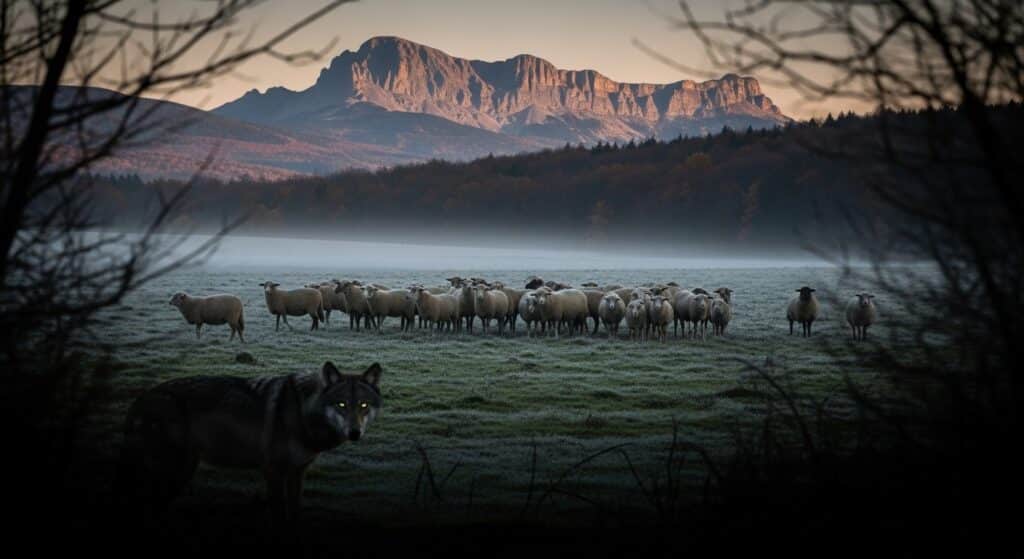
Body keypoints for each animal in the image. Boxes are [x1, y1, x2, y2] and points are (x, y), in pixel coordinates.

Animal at [115, 361, 382, 522]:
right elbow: (278, 512)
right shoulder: (273, 471)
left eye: (363, 406)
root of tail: (140, 401)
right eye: (341, 405)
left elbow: (295, 510)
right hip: (174, 472)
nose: (354, 433)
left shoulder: (297, 472)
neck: (301, 412)